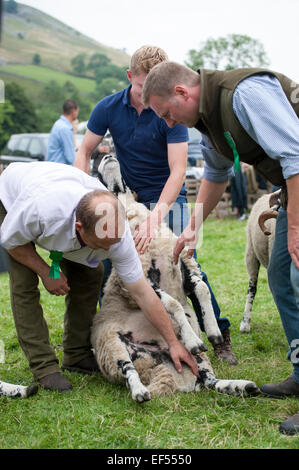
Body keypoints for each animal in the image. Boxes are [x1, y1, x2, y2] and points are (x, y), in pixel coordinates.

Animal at [92, 156, 260, 402]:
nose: (105, 155)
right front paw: (192, 339)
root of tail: (158, 365)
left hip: (196, 362)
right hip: (111, 345)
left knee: (209, 381)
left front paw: (214, 332)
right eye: (95, 175)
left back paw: (242, 387)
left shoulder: (183, 264)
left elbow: (202, 289)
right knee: (128, 370)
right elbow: (173, 304)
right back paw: (140, 392)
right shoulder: (139, 280)